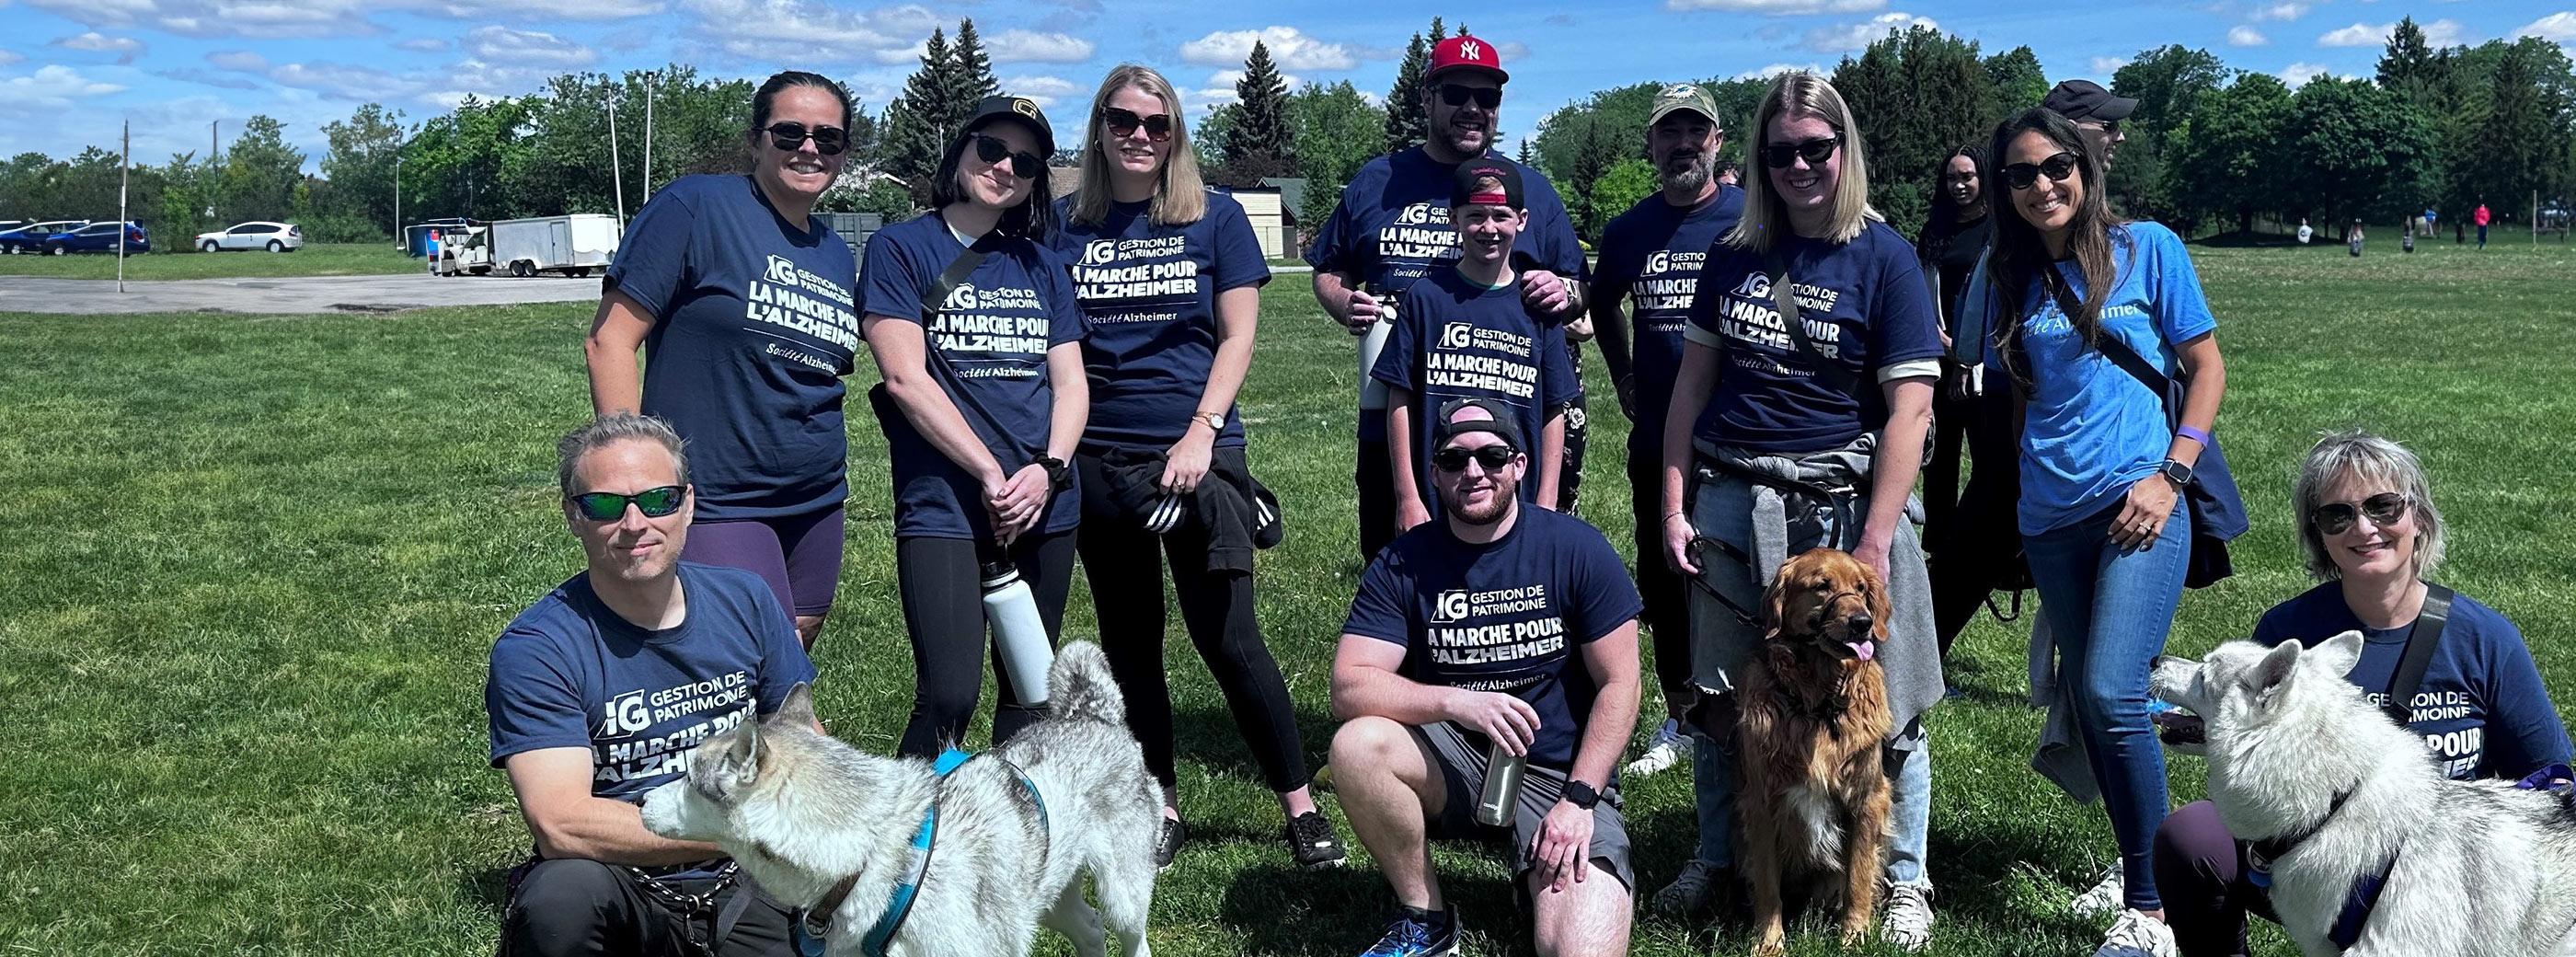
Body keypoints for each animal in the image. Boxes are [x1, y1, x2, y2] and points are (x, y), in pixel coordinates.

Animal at [644, 644, 1159, 957]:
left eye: (689, 778)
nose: (642, 802)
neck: (873, 859)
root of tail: (1094, 716)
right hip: (1048, 899)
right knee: (1090, 927)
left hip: (1122, 897)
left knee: (1129, 936)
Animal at [1731, 551, 1895, 954]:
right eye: (1822, 586)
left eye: (1861, 589)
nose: (1863, 623)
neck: (1818, 706)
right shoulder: (1760, 804)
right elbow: (1768, 885)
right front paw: (1769, 941)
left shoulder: (1868, 799)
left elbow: (1858, 877)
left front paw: (1854, 937)